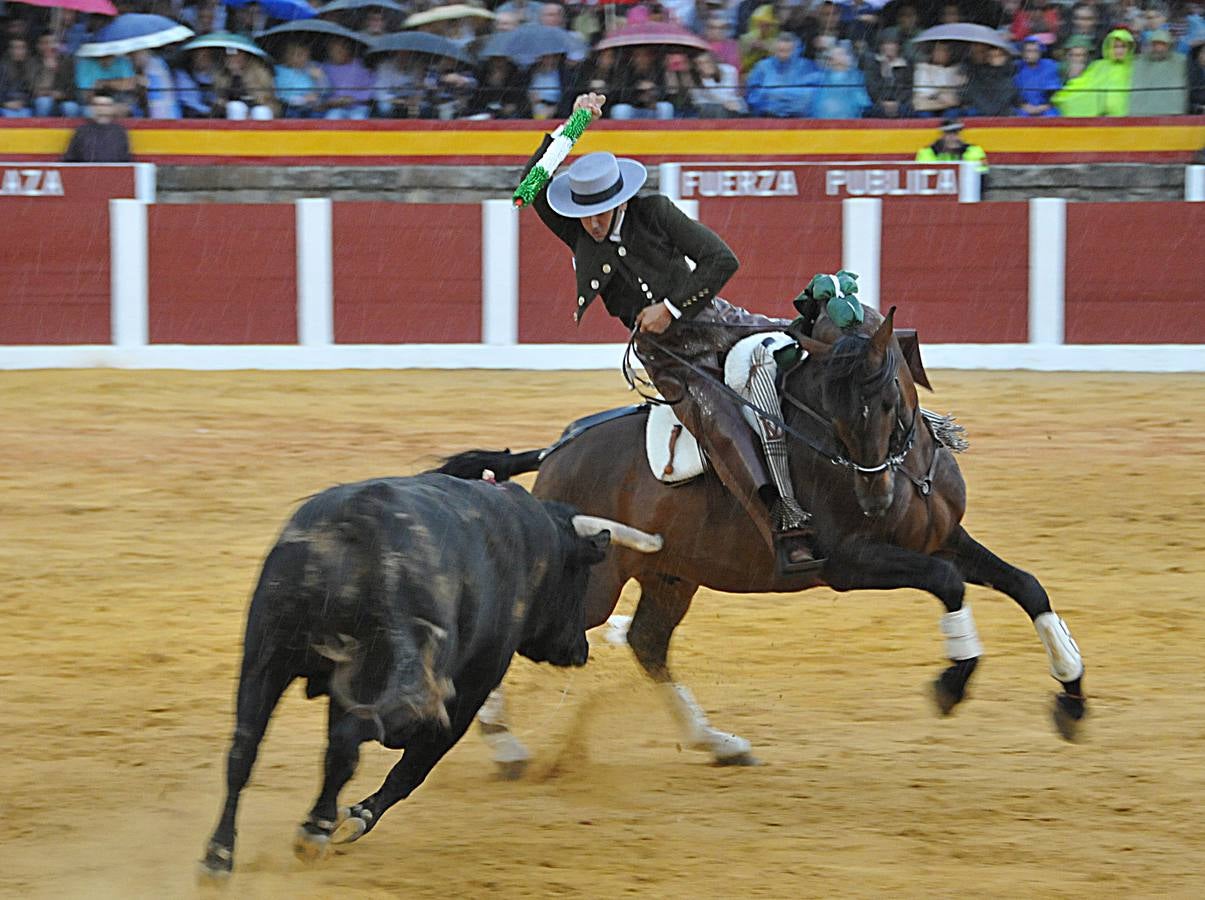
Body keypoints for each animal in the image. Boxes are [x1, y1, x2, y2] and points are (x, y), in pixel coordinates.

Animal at [204, 479, 660, 881]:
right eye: (581, 577)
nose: (579, 649)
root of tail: (358, 520)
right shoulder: (468, 693)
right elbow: (412, 769)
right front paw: (351, 819)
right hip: (403, 683)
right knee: (349, 744)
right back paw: (312, 831)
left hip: (264, 660)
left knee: (244, 749)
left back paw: (218, 856)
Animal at [438, 308, 1089, 766]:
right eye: (834, 412)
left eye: (885, 401)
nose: (874, 498)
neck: (909, 473)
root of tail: (556, 451)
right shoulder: (851, 564)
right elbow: (950, 583)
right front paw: (953, 684)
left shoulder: (943, 537)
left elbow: (1027, 586)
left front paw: (1072, 698)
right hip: (597, 585)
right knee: (533, 623)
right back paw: (505, 745)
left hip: (671, 575)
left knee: (648, 643)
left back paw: (719, 743)